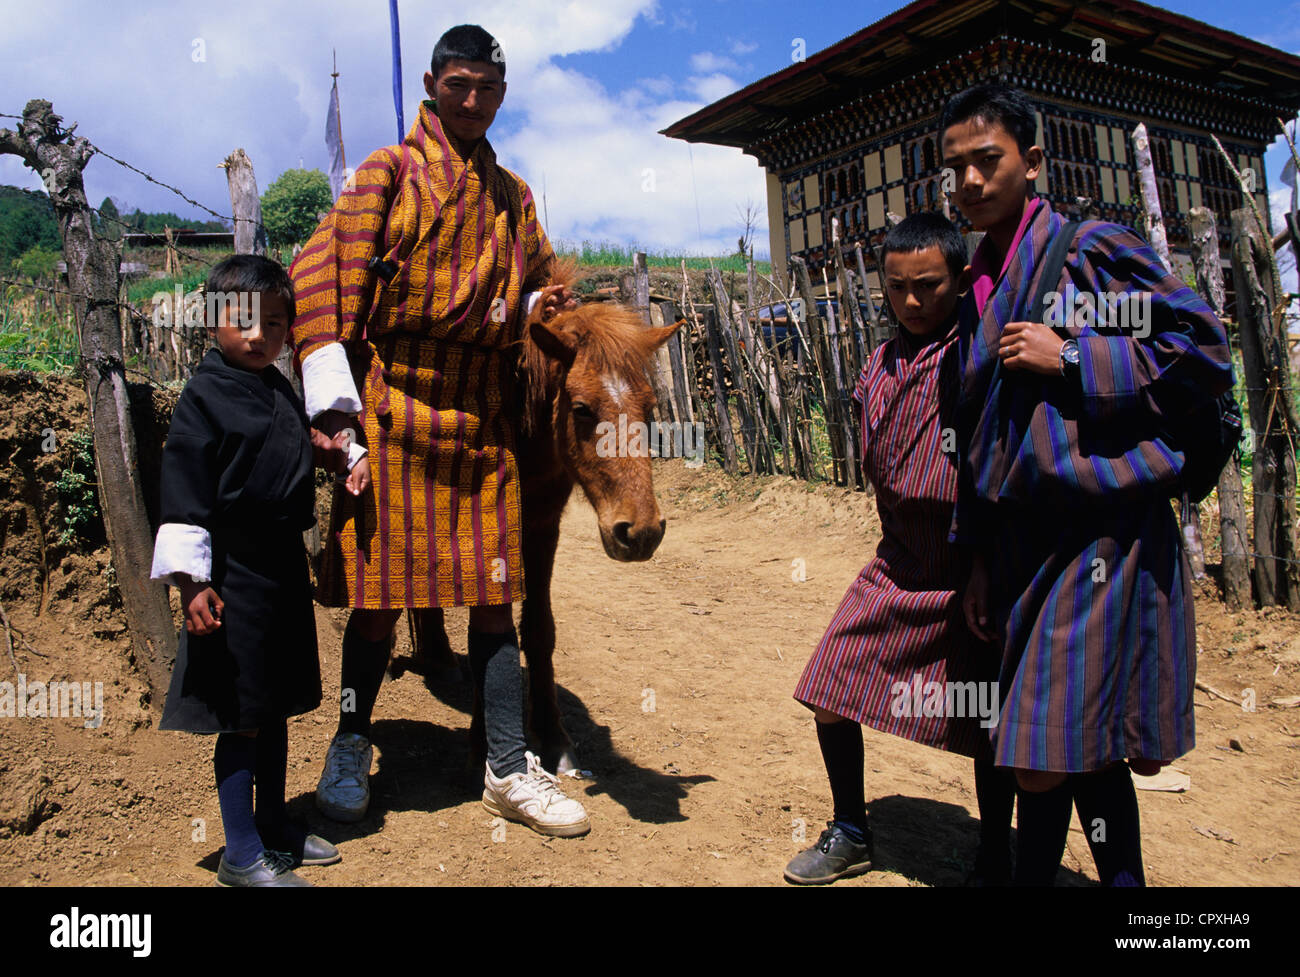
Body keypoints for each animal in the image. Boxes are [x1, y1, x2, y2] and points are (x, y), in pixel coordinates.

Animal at [405, 265, 681, 769]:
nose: (641, 532)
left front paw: (552, 734)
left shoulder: (542, 525)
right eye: (581, 409)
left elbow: (539, 629)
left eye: (650, 408)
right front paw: (482, 743)